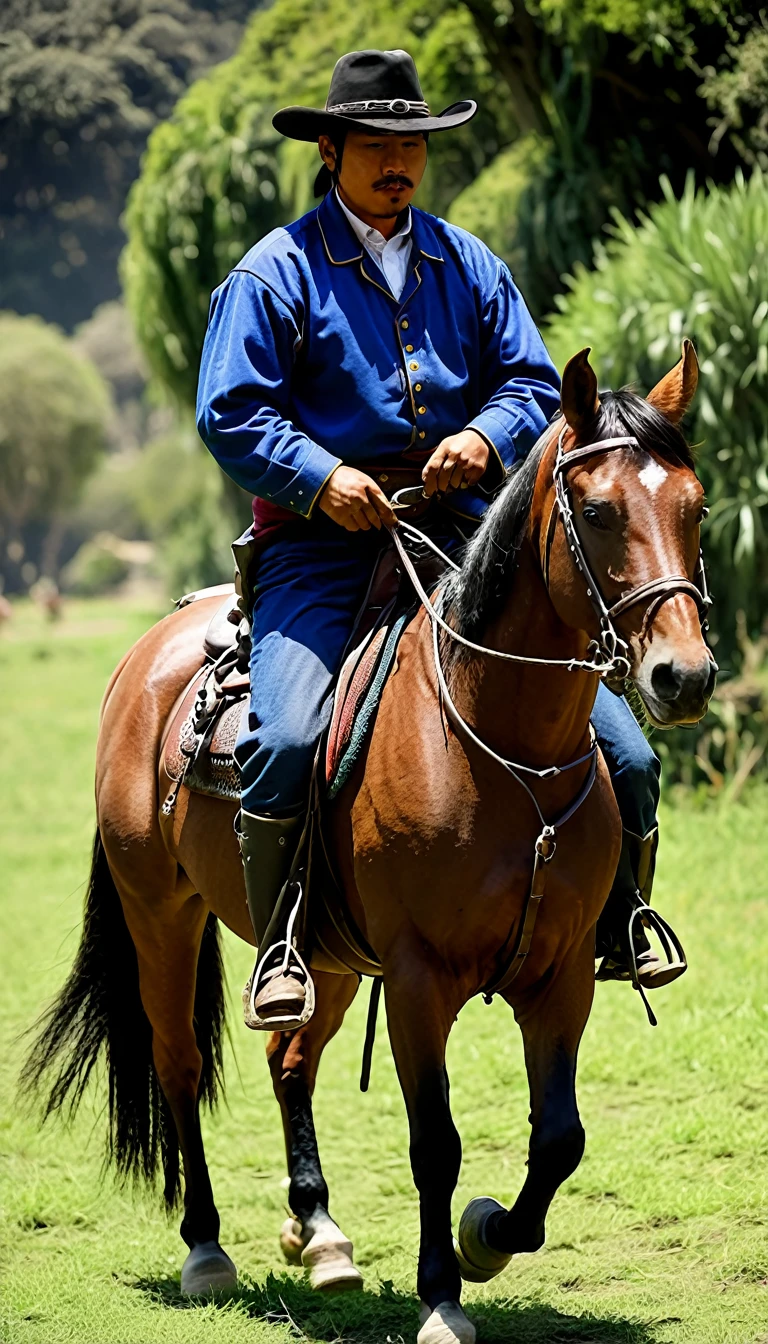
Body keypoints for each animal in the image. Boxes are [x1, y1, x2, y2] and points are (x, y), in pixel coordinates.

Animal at [27, 346, 720, 1344]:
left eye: (696, 507)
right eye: (596, 512)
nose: (683, 675)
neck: (497, 746)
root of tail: (146, 657)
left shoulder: (562, 977)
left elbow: (560, 1139)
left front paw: (486, 1237)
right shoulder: (421, 979)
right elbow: (435, 1142)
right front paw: (443, 1293)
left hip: (323, 954)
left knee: (289, 1061)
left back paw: (318, 1232)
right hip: (161, 914)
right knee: (180, 1065)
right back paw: (206, 1247)